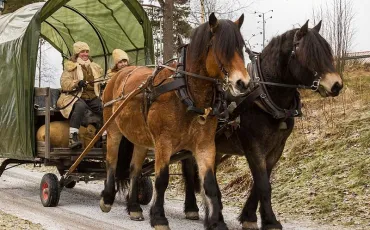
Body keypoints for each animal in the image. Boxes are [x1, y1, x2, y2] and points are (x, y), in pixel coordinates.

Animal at [99, 13, 250, 229]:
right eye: (222, 48)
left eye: (241, 47)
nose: (243, 83)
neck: (185, 91)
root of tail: (118, 74)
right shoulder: (164, 143)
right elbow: (162, 179)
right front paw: (159, 217)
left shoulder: (205, 145)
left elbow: (210, 183)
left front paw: (216, 222)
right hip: (113, 130)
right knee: (111, 161)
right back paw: (107, 198)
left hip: (140, 138)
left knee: (134, 169)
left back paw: (134, 207)